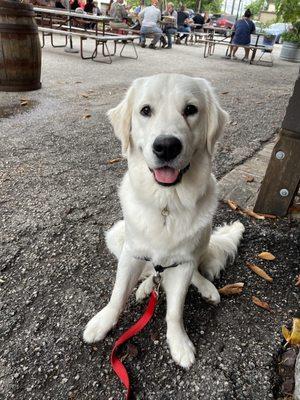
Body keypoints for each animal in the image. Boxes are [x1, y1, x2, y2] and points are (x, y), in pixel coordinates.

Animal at [82, 74, 244, 368]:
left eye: (190, 109)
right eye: (145, 110)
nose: (167, 146)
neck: (167, 204)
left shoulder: (183, 262)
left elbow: (175, 310)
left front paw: (179, 343)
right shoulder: (131, 253)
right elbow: (118, 294)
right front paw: (104, 321)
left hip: (202, 240)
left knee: (189, 273)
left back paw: (206, 288)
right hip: (117, 234)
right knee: (150, 272)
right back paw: (146, 287)